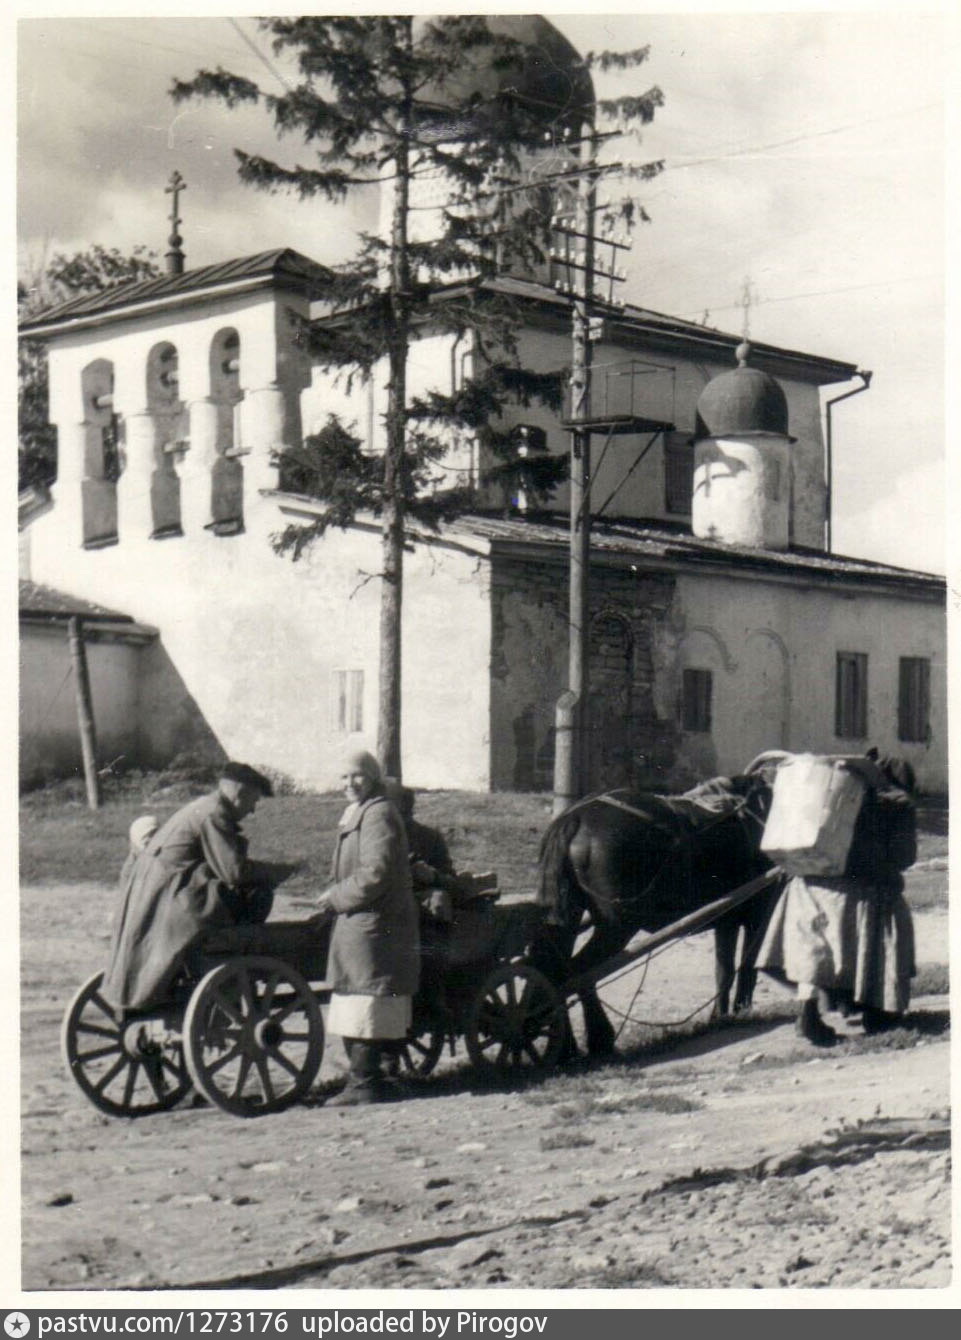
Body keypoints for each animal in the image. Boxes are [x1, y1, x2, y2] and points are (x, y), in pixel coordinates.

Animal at [528, 766, 782, 1055]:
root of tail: (575, 817)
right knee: (577, 971)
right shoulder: (759, 912)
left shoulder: (726, 917)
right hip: (617, 926)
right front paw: (742, 1011)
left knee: (552, 968)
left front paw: (720, 1015)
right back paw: (598, 1038)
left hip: (568, 914)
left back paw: (562, 1043)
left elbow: (724, 969)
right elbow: (748, 964)